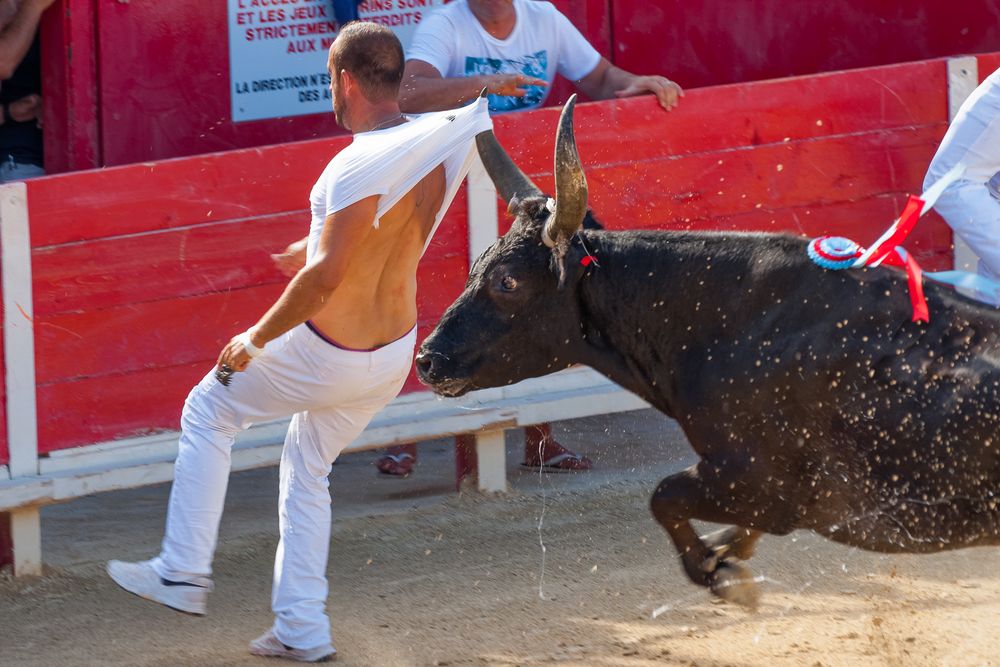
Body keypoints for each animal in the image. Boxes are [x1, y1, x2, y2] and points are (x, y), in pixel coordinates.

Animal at [414, 96, 1000, 608]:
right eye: (478, 265)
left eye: (508, 281)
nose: (426, 360)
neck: (722, 323)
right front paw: (726, 557)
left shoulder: (760, 482)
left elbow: (664, 495)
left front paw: (724, 576)